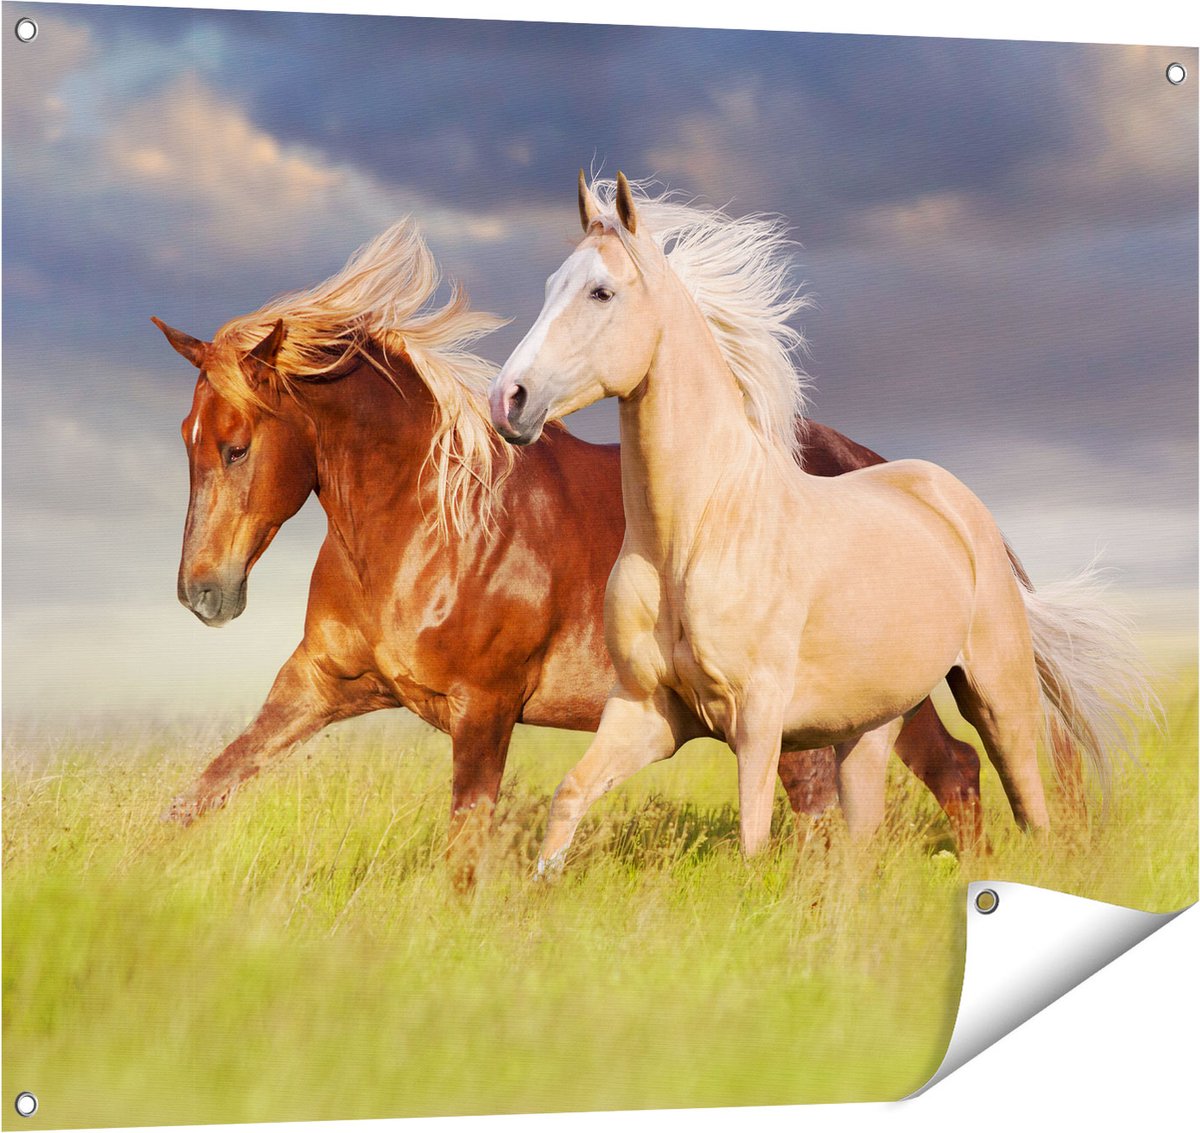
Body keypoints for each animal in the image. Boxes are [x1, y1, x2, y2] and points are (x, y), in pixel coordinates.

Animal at [152, 218, 984, 886]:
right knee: (934, 775)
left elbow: (465, 849)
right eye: (187, 440)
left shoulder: (485, 709)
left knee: (901, 787)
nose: (203, 594)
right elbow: (203, 790)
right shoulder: (319, 684)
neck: (427, 524)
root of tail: (888, 471)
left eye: (236, 446)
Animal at [488, 173, 1153, 875]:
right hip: (871, 725)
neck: (696, 535)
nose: (509, 400)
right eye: (550, 286)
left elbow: (753, 834)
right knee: (868, 831)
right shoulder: (647, 711)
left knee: (1029, 802)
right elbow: (570, 796)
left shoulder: (756, 717)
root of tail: (962, 507)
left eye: (601, 291)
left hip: (997, 695)